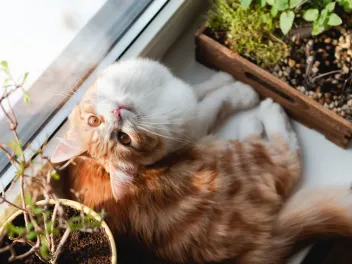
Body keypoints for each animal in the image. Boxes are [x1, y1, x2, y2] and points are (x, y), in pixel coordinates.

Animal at [51, 58, 352, 262]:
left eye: (121, 137)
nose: (116, 112)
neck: (147, 99)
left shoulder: (178, 92)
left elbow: (200, 88)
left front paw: (223, 78)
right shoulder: (194, 124)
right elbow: (215, 102)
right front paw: (243, 91)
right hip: (234, 158)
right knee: (286, 158)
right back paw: (264, 113)